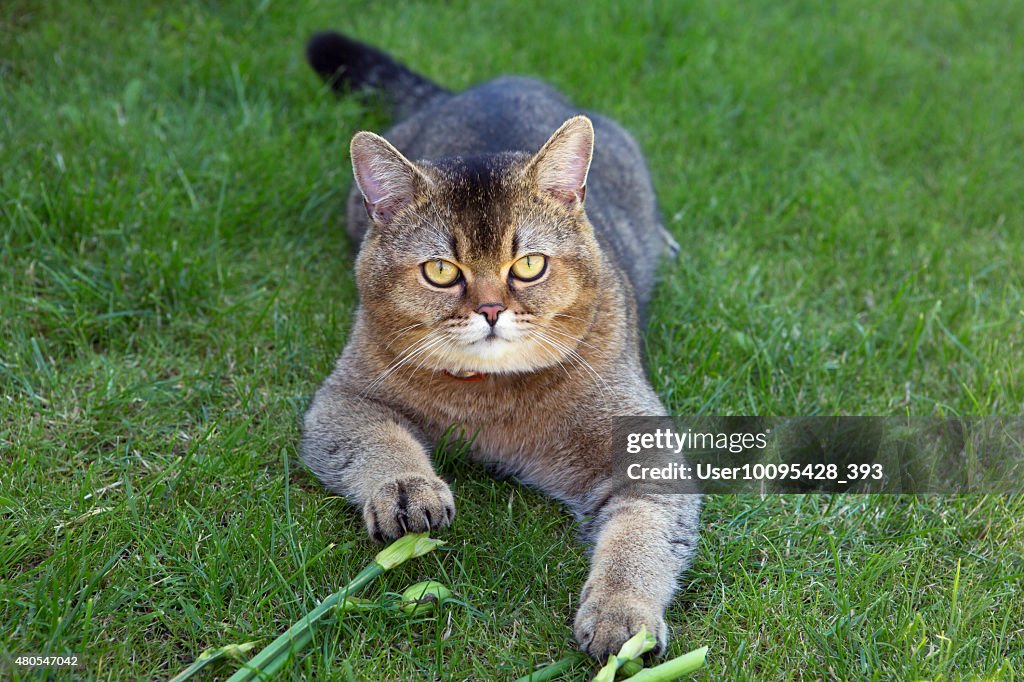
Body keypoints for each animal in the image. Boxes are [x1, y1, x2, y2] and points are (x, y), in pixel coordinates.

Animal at [299, 31, 700, 659]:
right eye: (441, 271)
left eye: (529, 264)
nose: (490, 310)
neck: (490, 397)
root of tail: (480, 87)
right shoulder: (342, 400)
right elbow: (380, 438)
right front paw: (407, 488)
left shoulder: (644, 451)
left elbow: (642, 532)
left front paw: (622, 612)